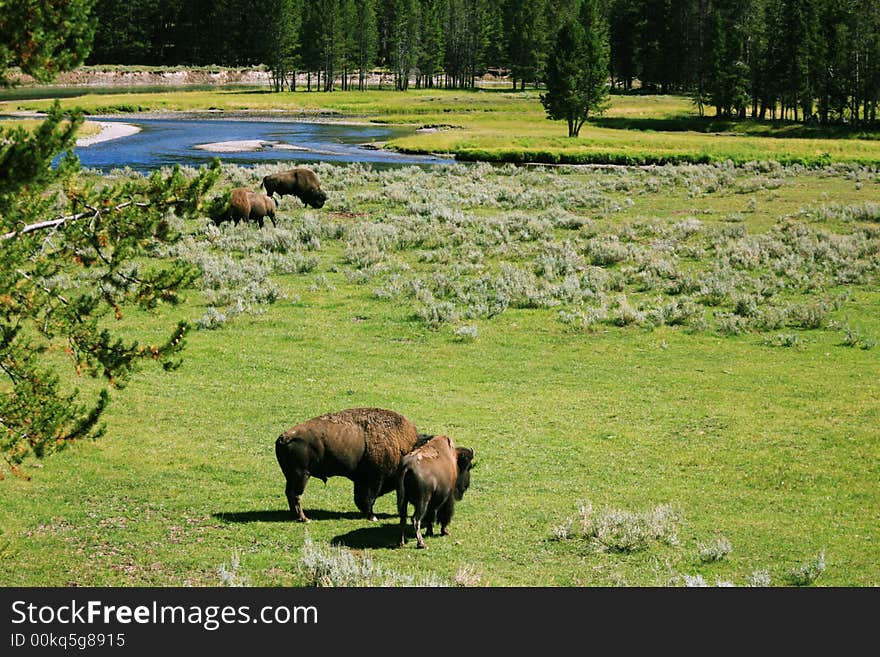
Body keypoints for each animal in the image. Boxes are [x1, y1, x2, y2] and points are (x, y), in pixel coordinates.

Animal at [278, 404, 422, 524]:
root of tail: (285, 437)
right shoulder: (373, 480)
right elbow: (368, 499)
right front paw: (372, 516)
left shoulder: (362, 481)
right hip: (302, 475)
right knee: (296, 495)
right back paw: (305, 519)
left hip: (291, 476)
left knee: (289, 493)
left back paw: (295, 516)